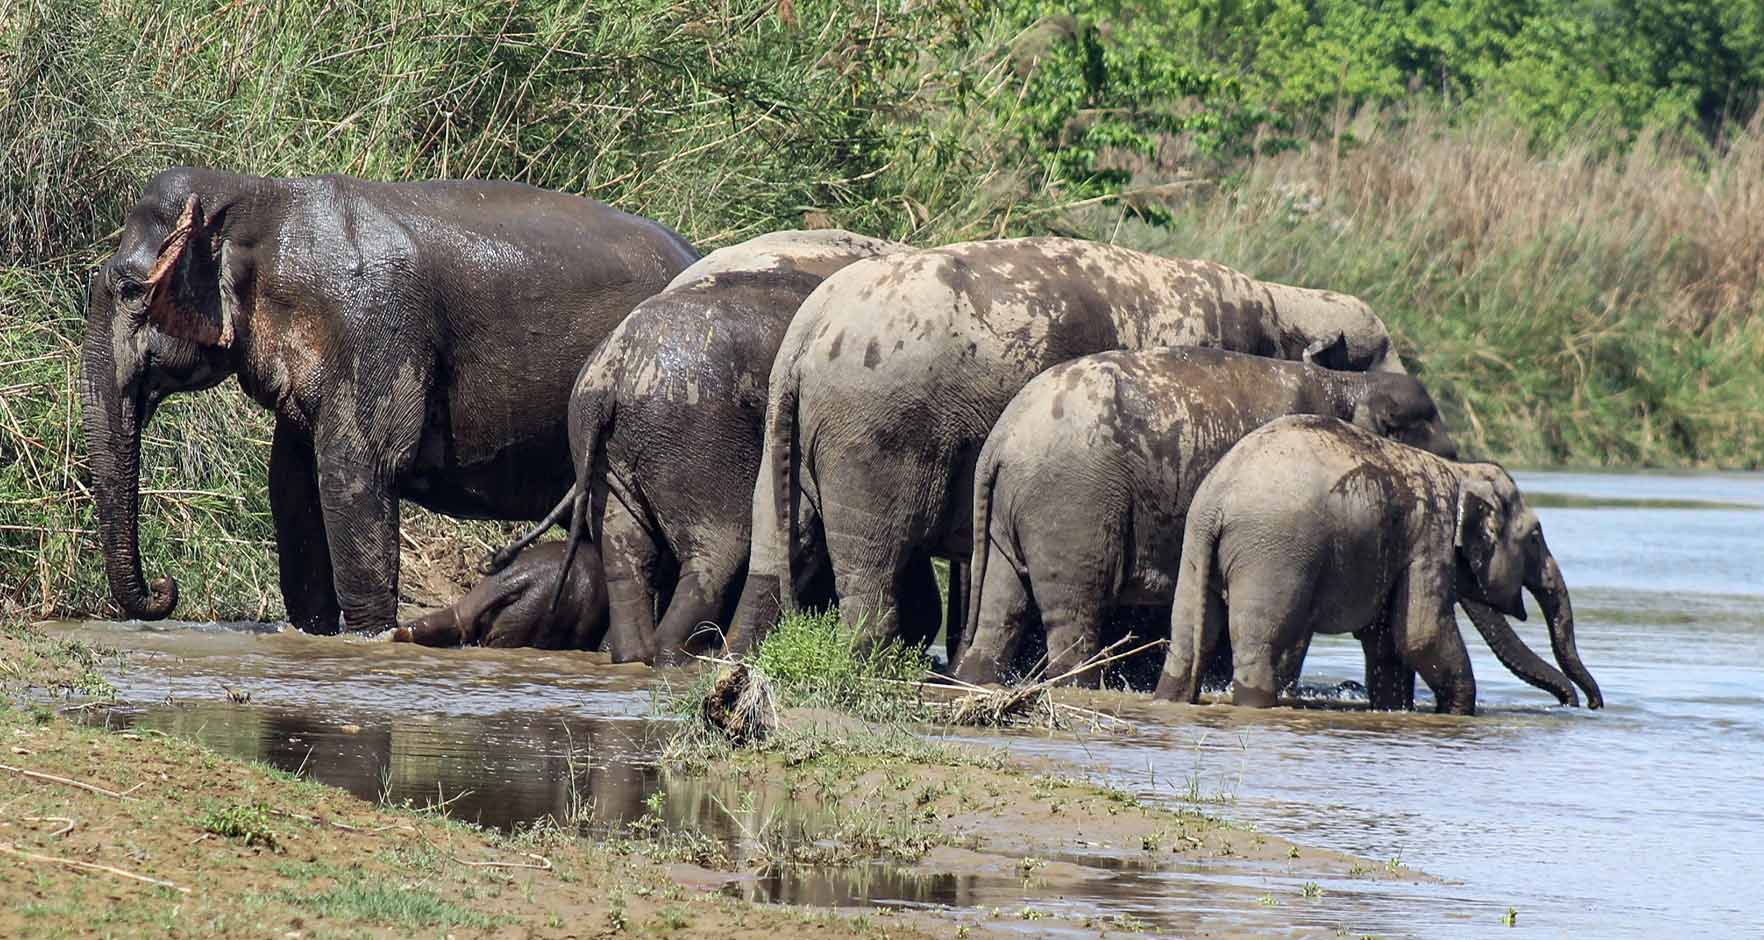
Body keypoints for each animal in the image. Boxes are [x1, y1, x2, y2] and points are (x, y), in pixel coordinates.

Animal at [82, 170, 698, 638]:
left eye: (132, 291)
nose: (166, 588)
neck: (266, 199)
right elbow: (292, 485)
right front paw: (314, 636)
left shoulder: (374, 328)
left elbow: (354, 474)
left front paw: (368, 640)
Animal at [497, 231, 910, 663]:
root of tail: (612, 371)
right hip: (696, 438)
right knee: (719, 551)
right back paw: (677, 656)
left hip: (605, 453)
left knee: (628, 556)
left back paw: (636, 656)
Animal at [726, 234, 1404, 652]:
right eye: (1373, 356)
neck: (1281, 300)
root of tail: (806, 337)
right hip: (874, 437)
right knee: (872, 562)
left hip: (797, 432)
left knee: (781, 543)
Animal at [1150, 414, 1608, 716]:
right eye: (1535, 536)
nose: (1584, 704)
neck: (1459, 473)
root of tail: (1219, 500)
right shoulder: (1429, 542)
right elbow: (1420, 634)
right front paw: (1457, 712)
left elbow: (1388, 641)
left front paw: (1395, 709)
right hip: (1273, 554)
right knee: (1259, 643)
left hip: (1197, 546)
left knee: (1189, 638)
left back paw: (1171, 698)